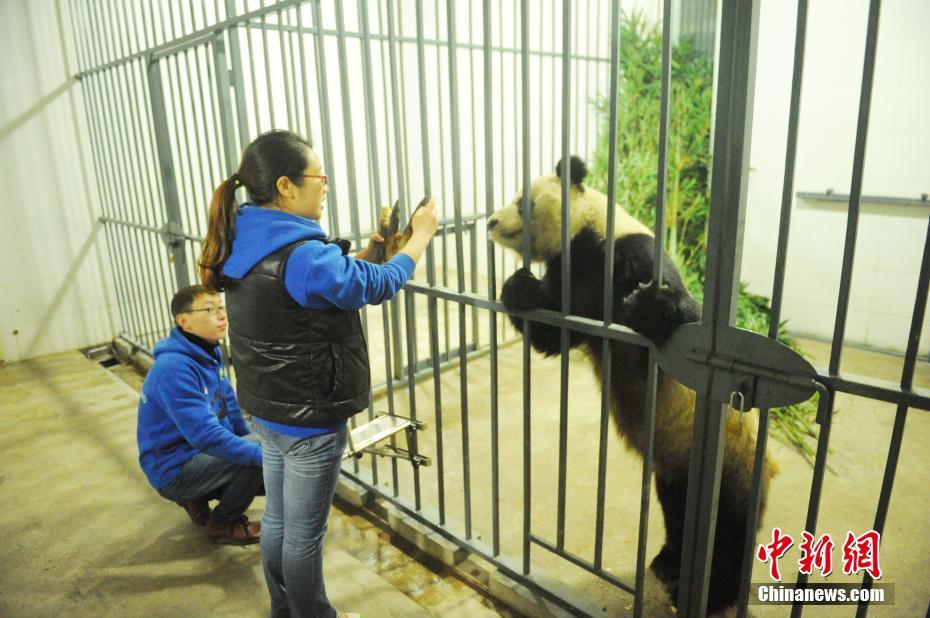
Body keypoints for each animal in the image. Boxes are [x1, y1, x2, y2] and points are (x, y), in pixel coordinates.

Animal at [486, 155, 776, 612]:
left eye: (523, 202)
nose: (492, 221)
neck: (586, 233)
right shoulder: (572, 278)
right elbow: (554, 333)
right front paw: (519, 288)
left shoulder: (630, 252)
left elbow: (682, 323)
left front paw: (651, 307)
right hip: (675, 466)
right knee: (677, 511)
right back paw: (668, 563)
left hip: (731, 462)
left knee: (728, 531)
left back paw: (713, 595)